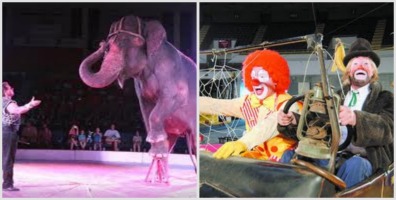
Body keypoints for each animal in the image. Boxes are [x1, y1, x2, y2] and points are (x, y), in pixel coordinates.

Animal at [79, 14, 197, 182]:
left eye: (125, 43)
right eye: (108, 45)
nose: (102, 45)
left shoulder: (169, 70)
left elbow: (173, 97)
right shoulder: (140, 87)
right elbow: (146, 108)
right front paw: (156, 150)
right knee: (172, 144)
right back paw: (162, 177)